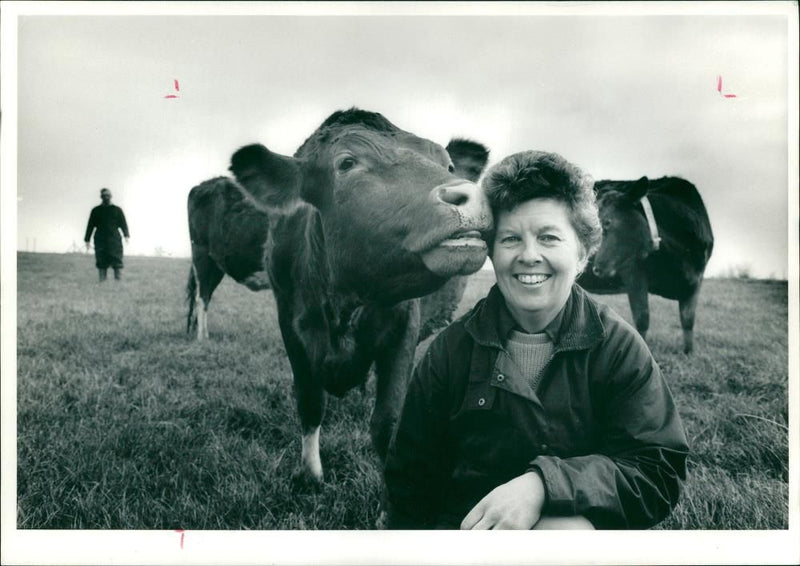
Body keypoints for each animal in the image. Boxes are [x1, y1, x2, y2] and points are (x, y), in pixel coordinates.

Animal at [580, 178, 716, 356]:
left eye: (607, 222)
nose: (596, 268)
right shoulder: (633, 273)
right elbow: (642, 319)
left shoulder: (696, 281)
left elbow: (688, 320)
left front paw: (688, 353)